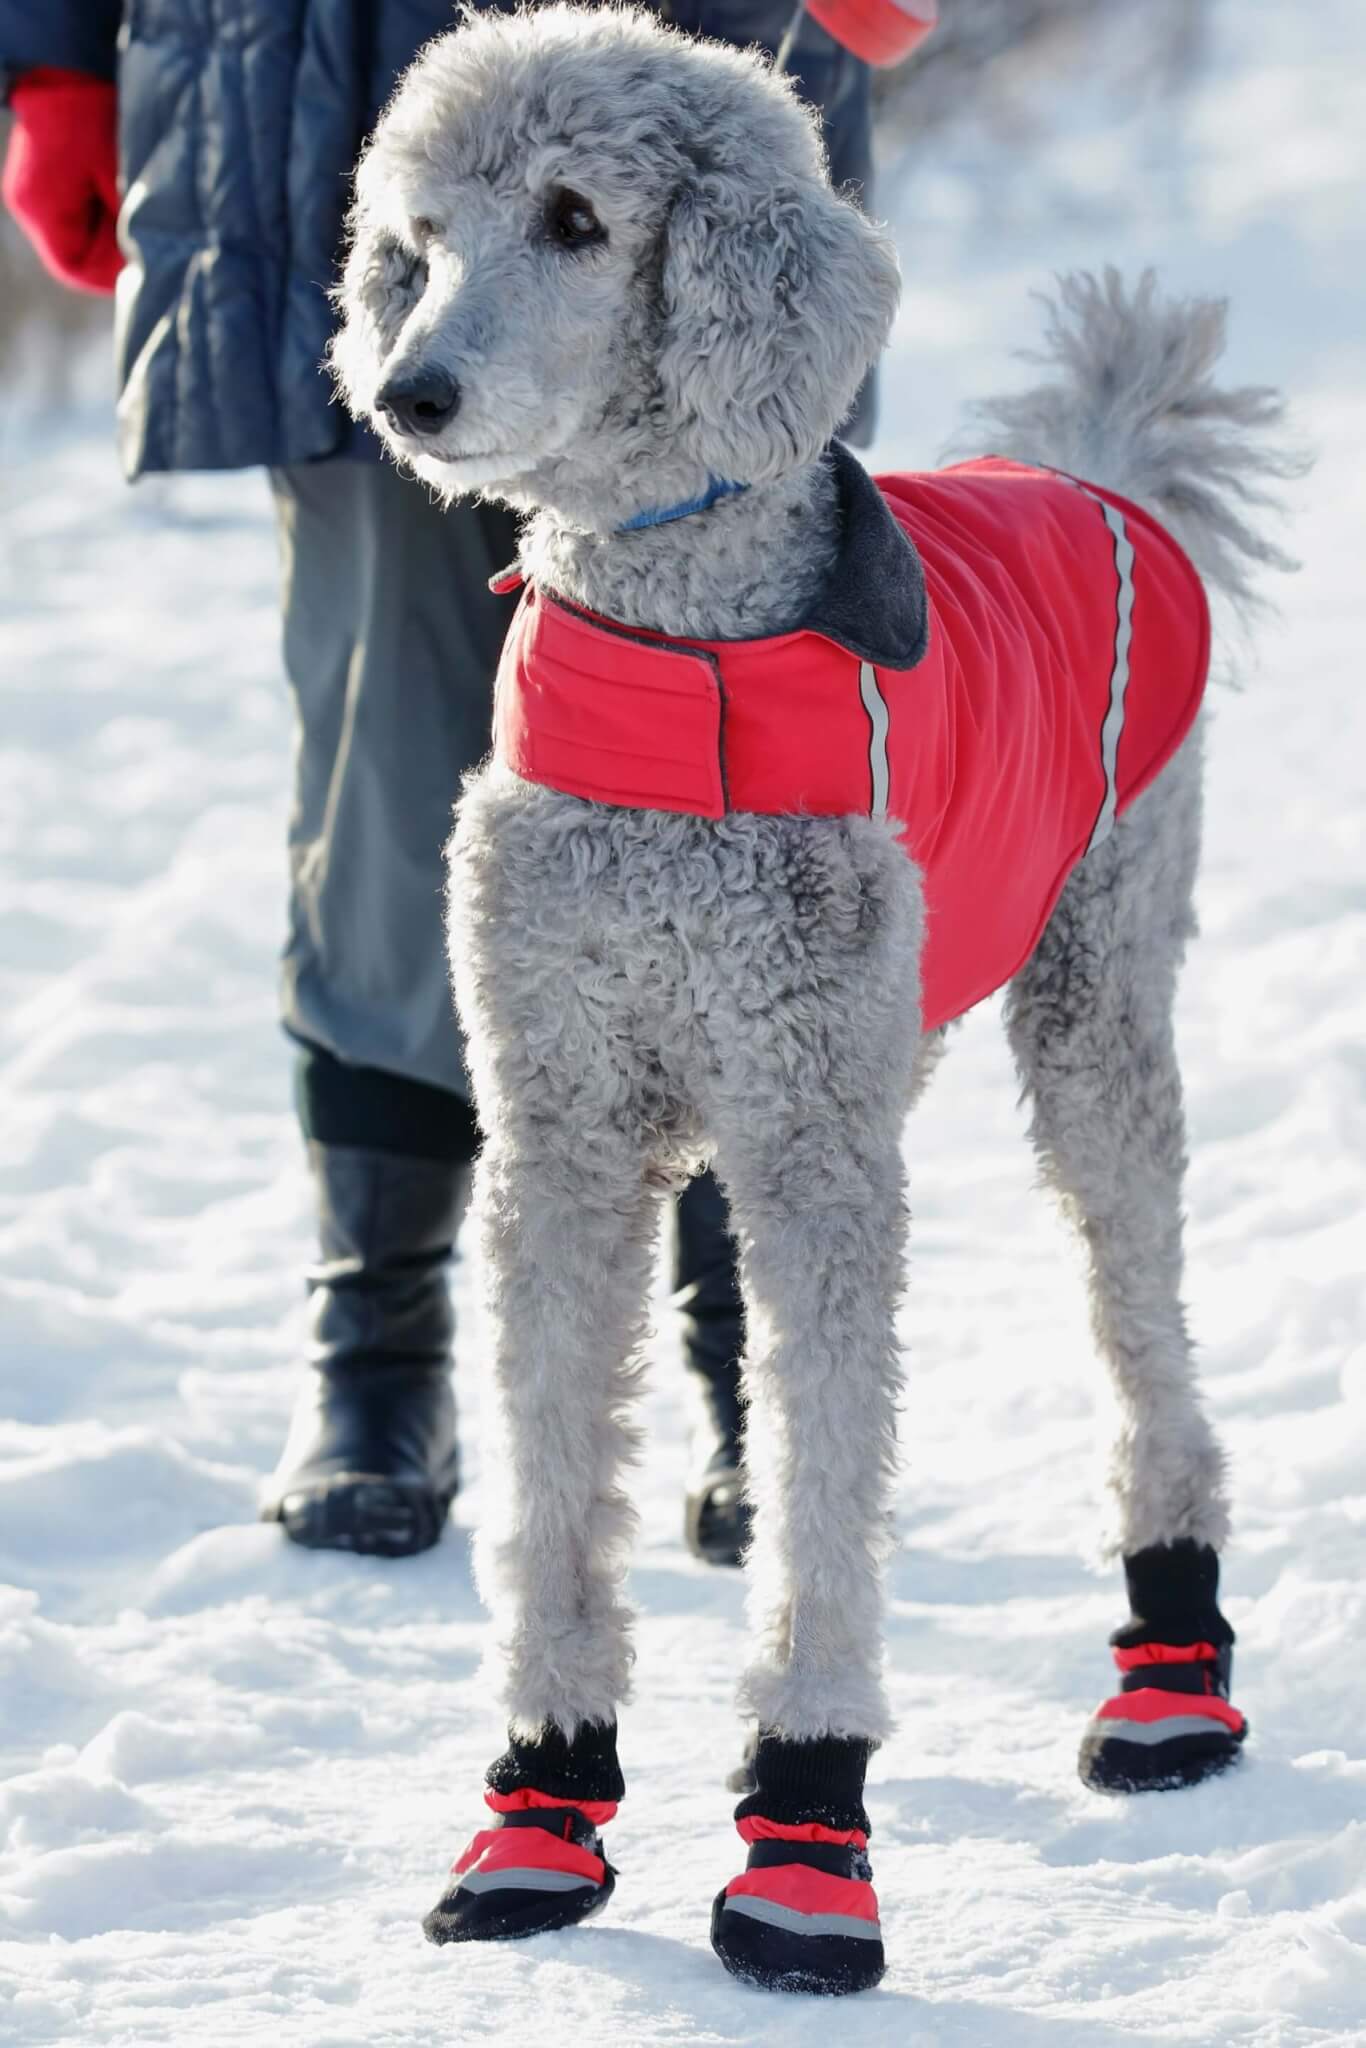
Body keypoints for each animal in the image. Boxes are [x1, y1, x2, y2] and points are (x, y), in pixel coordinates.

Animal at [327, 0, 1294, 1982]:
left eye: (573, 218)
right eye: (418, 240)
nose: (407, 395)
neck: (671, 661)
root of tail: (1093, 472)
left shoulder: (817, 1141)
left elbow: (829, 1484)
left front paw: (804, 1828)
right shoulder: (561, 1129)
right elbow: (555, 1476)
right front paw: (541, 1799)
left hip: (1094, 1010)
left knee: (1144, 1333)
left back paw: (1172, 1667)